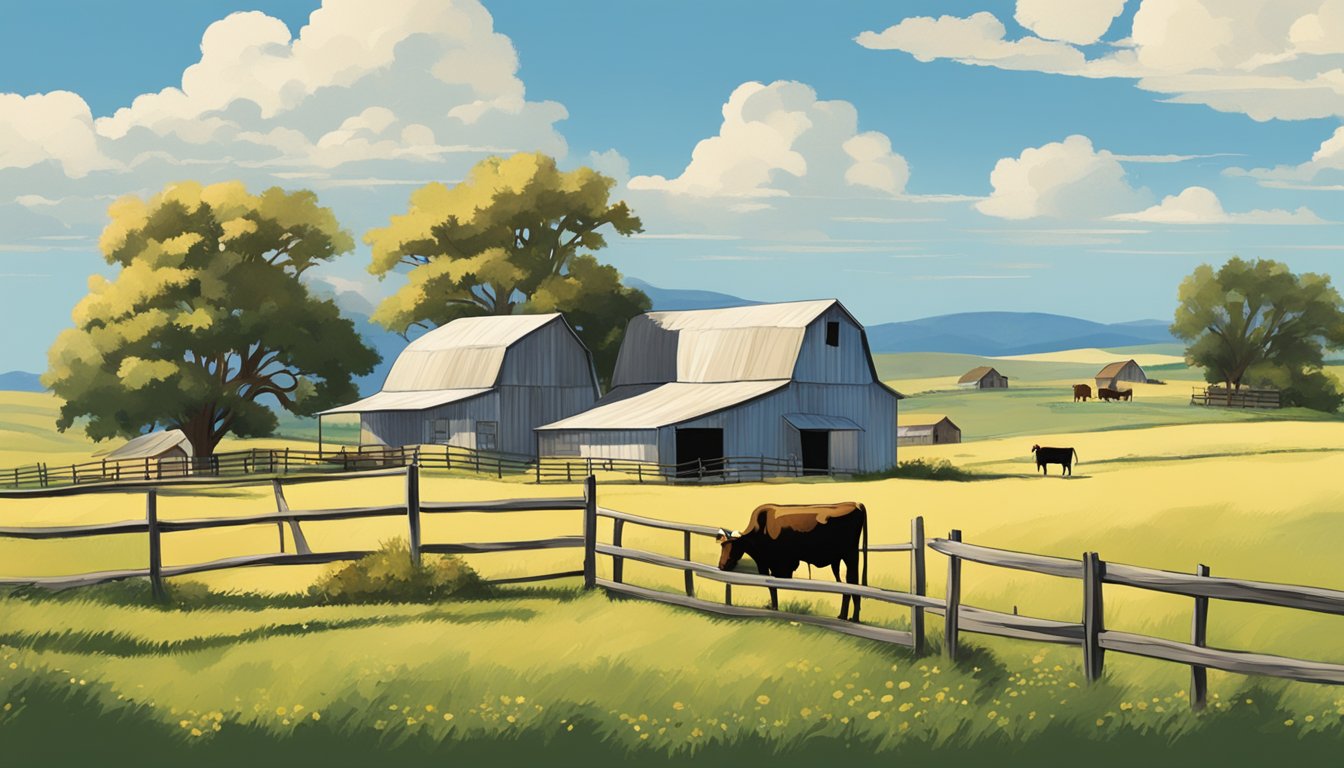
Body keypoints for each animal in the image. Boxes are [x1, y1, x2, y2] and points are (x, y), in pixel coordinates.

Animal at [715, 505, 870, 624]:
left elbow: (772, 586)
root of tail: (855, 504)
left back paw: (854, 618)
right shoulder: (766, 564)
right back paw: (843, 616)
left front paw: (774, 608)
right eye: (721, 545)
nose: (721, 566)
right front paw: (773, 606)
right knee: (845, 585)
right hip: (839, 560)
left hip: (850, 555)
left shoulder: (776, 564)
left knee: (852, 582)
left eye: (733, 546)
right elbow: (771, 587)